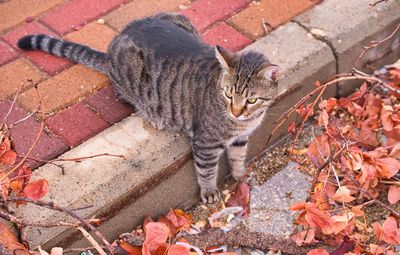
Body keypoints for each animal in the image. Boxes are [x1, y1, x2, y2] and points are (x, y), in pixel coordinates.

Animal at [16, 12, 278, 203]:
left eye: (251, 100)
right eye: (228, 94)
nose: (236, 111)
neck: (243, 122)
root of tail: (114, 45)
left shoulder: (241, 139)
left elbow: (238, 156)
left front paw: (240, 174)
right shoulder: (206, 143)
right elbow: (206, 170)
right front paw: (209, 191)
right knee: (124, 94)